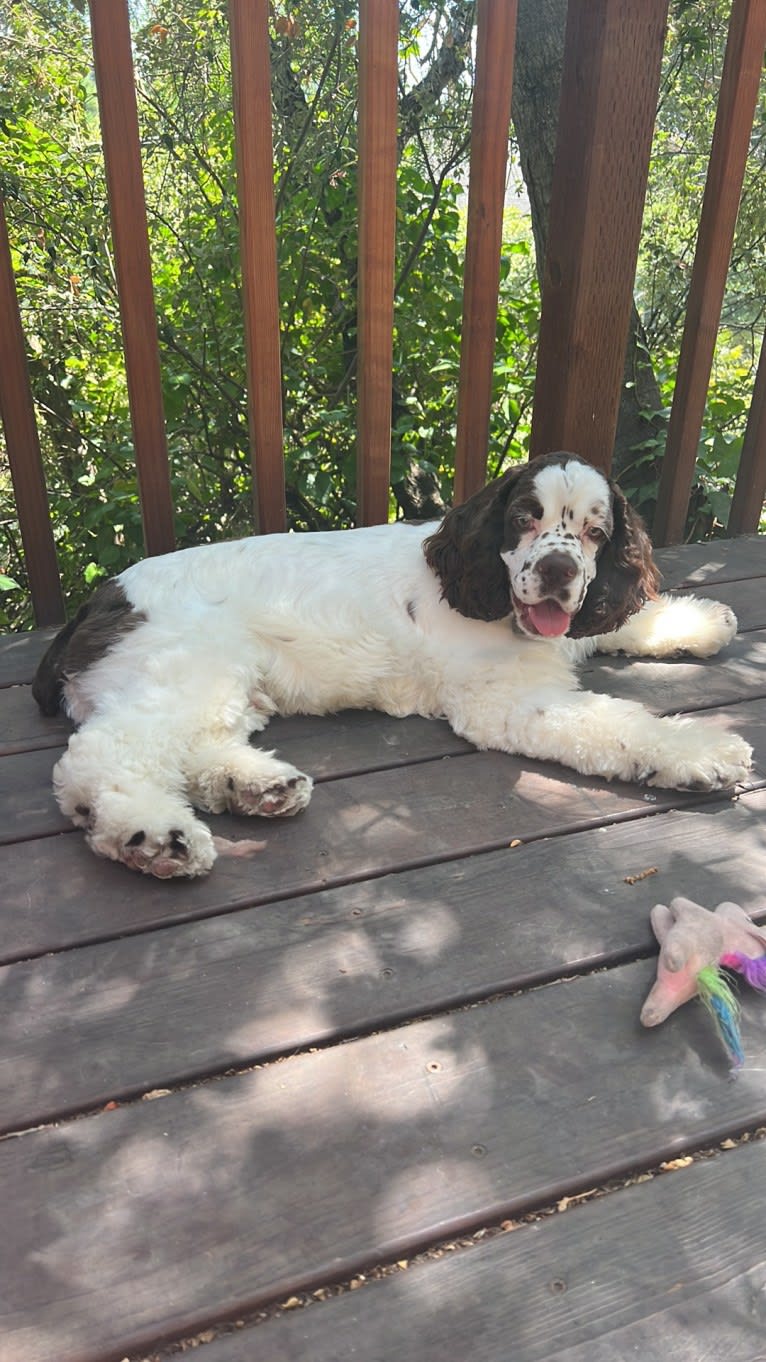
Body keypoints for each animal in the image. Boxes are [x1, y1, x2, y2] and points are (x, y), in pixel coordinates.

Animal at [32, 452, 746, 877]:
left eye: (598, 532)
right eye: (523, 518)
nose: (557, 571)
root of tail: (100, 596)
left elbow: (622, 619)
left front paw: (702, 621)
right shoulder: (503, 701)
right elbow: (619, 725)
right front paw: (702, 754)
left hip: (227, 679)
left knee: (198, 747)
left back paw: (255, 788)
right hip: (183, 669)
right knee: (98, 759)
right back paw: (151, 835)